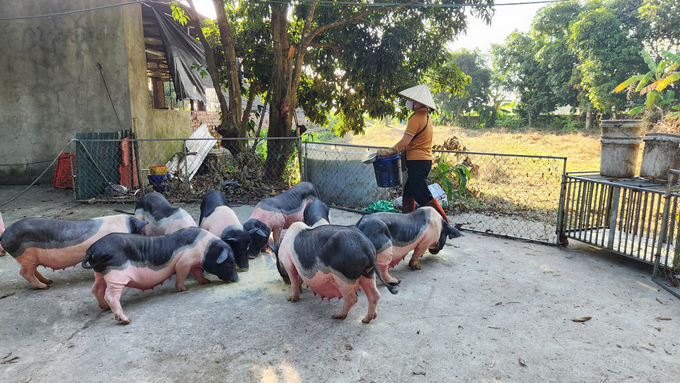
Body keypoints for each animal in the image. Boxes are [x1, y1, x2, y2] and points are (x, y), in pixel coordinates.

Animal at [82, 228, 239, 324]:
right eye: (230, 261)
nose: (237, 279)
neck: (206, 249)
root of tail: (92, 250)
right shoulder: (184, 262)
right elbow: (181, 274)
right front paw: (184, 289)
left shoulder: (193, 264)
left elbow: (197, 273)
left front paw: (206, 281)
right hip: (115, 274)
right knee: (110, 295)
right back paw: (126, 320)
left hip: (100, 272)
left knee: (95, 288)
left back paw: (104, 307)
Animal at [270, 222, 398, 324]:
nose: (284, 280)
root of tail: (367, 247)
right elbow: (299, 279)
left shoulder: (288, 262)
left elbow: (294, 280)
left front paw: (290, 299)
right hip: (368, 272)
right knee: (375, 294)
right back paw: (366, 320)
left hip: (344, 277)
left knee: (352, 298)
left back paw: (336, 316)